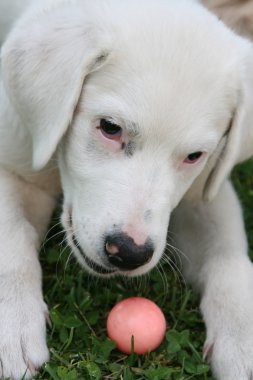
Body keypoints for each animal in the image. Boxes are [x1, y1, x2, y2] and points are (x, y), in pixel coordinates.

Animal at [0, 0, 253, 378]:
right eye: (109, 127)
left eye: (194, 156)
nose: (130, 253)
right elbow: (11, 235)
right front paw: (12, 324)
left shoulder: (206, 190)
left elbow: (228, 255)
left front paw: (244, 336)